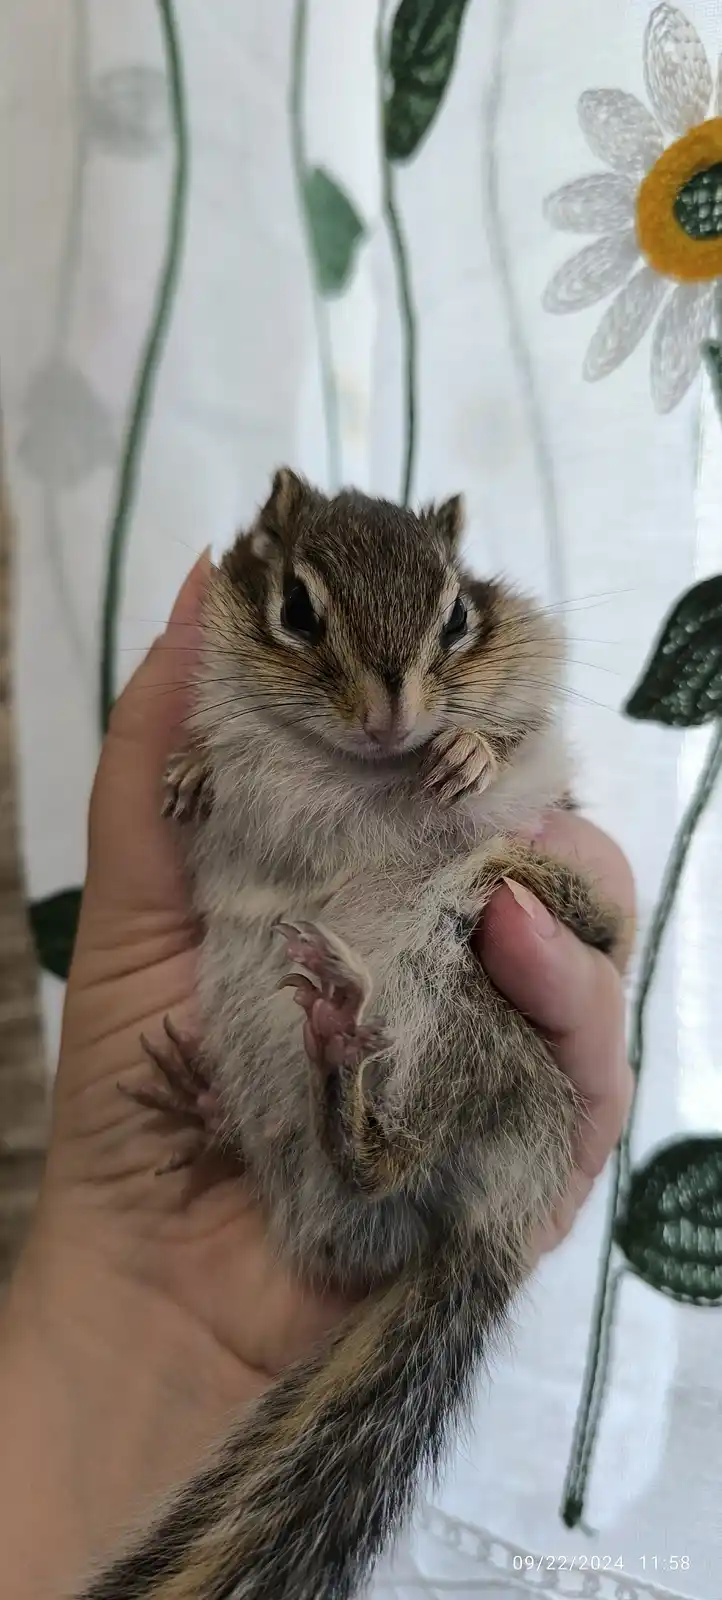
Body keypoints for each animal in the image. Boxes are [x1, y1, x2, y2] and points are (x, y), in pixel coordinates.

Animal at [82, 469, 622, 1600]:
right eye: (295, 607)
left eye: (459, 616)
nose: (394, 719)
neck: (354, 770)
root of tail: (486, 1220)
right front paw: (192, 768)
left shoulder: (535, 708)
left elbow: (523, 745)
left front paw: (468, 749)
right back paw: (214, 1107)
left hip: (471, 1025)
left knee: (398, 1149)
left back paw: (345, 1070)